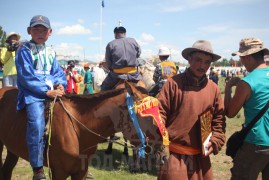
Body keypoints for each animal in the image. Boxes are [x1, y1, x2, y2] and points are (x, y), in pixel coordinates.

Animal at [0, 82, 168, 180]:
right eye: (148, 117)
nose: (165, 155)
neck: (78, 128)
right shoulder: (59, 172)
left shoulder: (81, 172)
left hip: (13, 150)